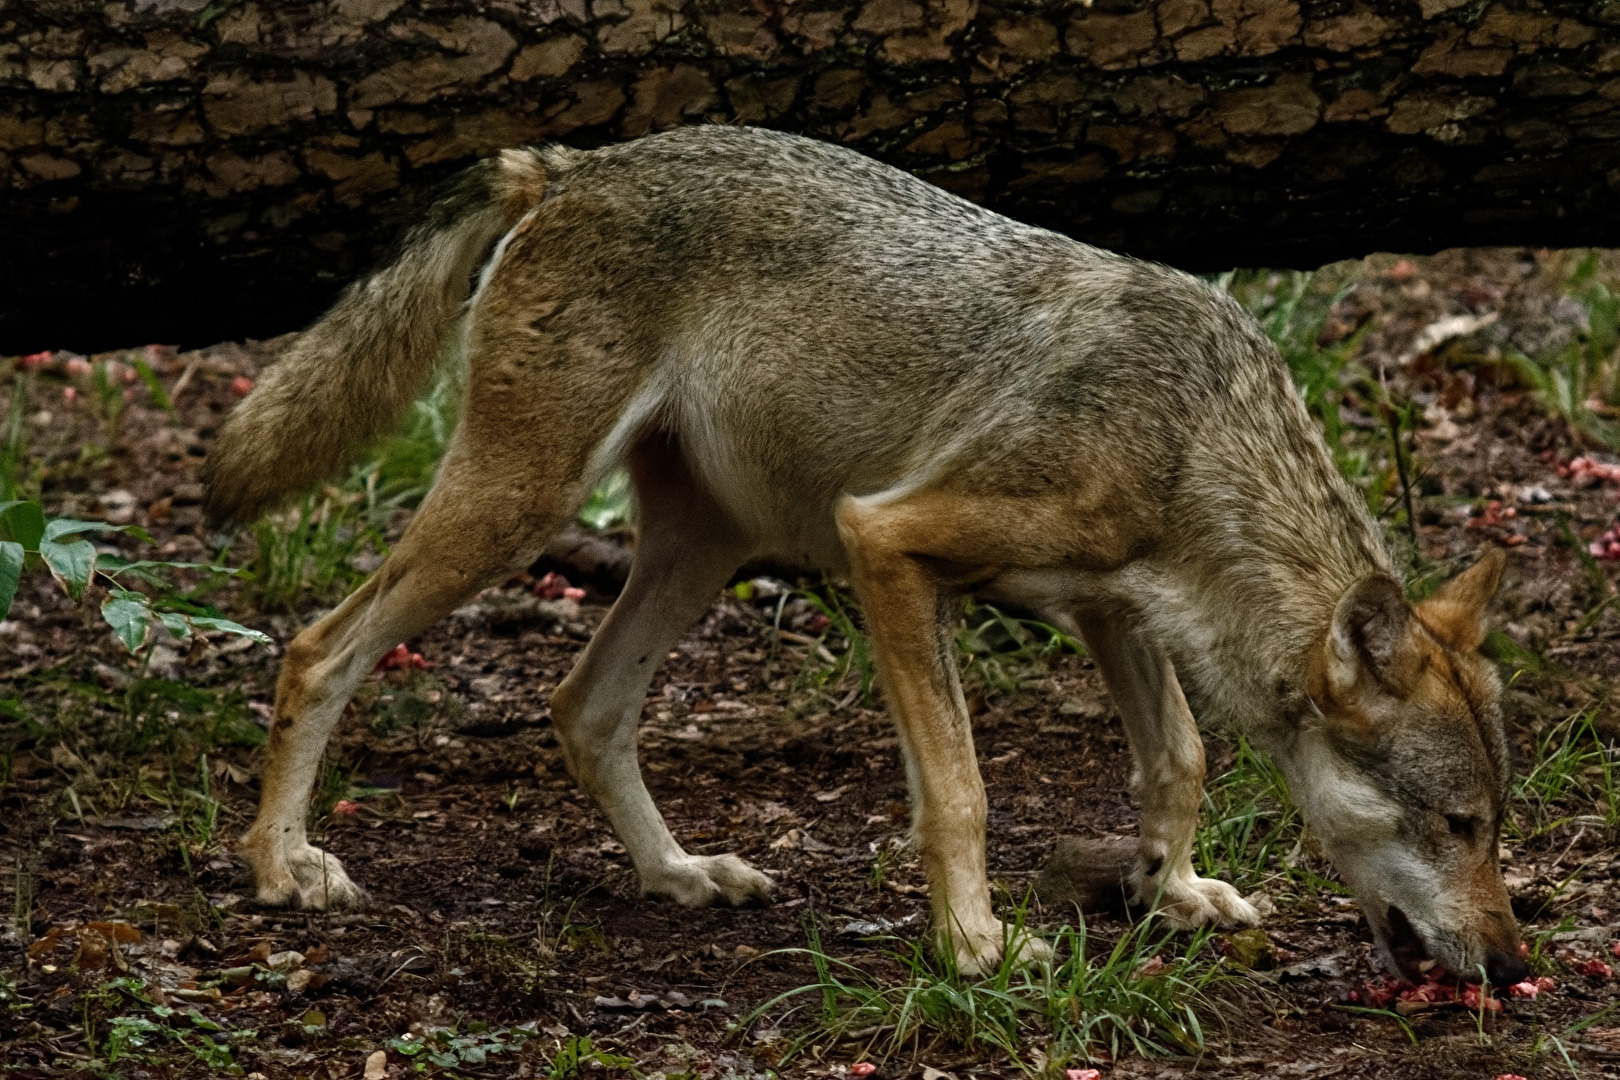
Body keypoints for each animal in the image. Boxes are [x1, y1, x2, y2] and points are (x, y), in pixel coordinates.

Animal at [206, 125, 1525, 983]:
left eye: (1495, 826)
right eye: (1459, 827)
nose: (1515, 966)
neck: (1191, 437)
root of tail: (571, 164)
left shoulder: (1114, 610)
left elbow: (1182, 760)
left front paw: (1173, 892)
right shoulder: (887, 544)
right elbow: (961, 792)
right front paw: (977, 946)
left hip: (704, 551)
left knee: (582, 706)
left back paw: (679, 877)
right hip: (523, 509)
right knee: (317, 648)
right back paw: (282, 867)